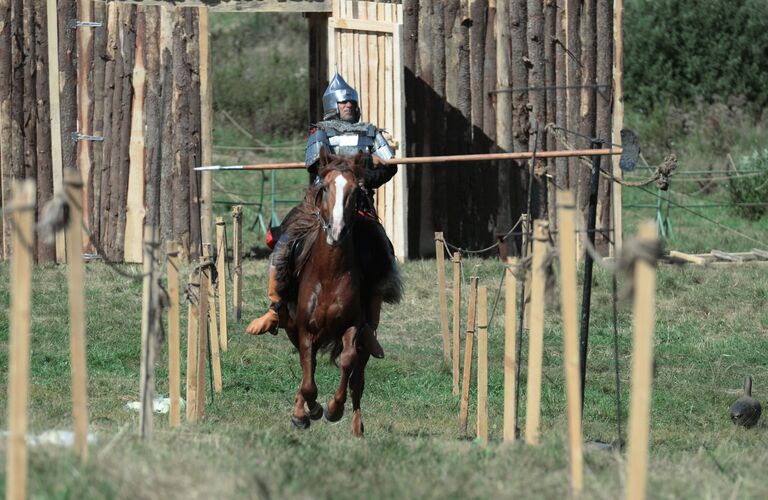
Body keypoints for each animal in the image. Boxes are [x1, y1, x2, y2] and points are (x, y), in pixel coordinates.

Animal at [272, 150, 396, 436]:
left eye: (355, 190)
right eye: (325, 188)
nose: (337, 230)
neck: (329, 275)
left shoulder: (353, 326)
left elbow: (348, 362)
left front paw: (332, 409)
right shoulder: (304, 330)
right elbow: (308, 379)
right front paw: (308, 411)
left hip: (365, 341)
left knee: (357, 381)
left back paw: (357, 427)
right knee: (308, 369)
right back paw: (302, 411)